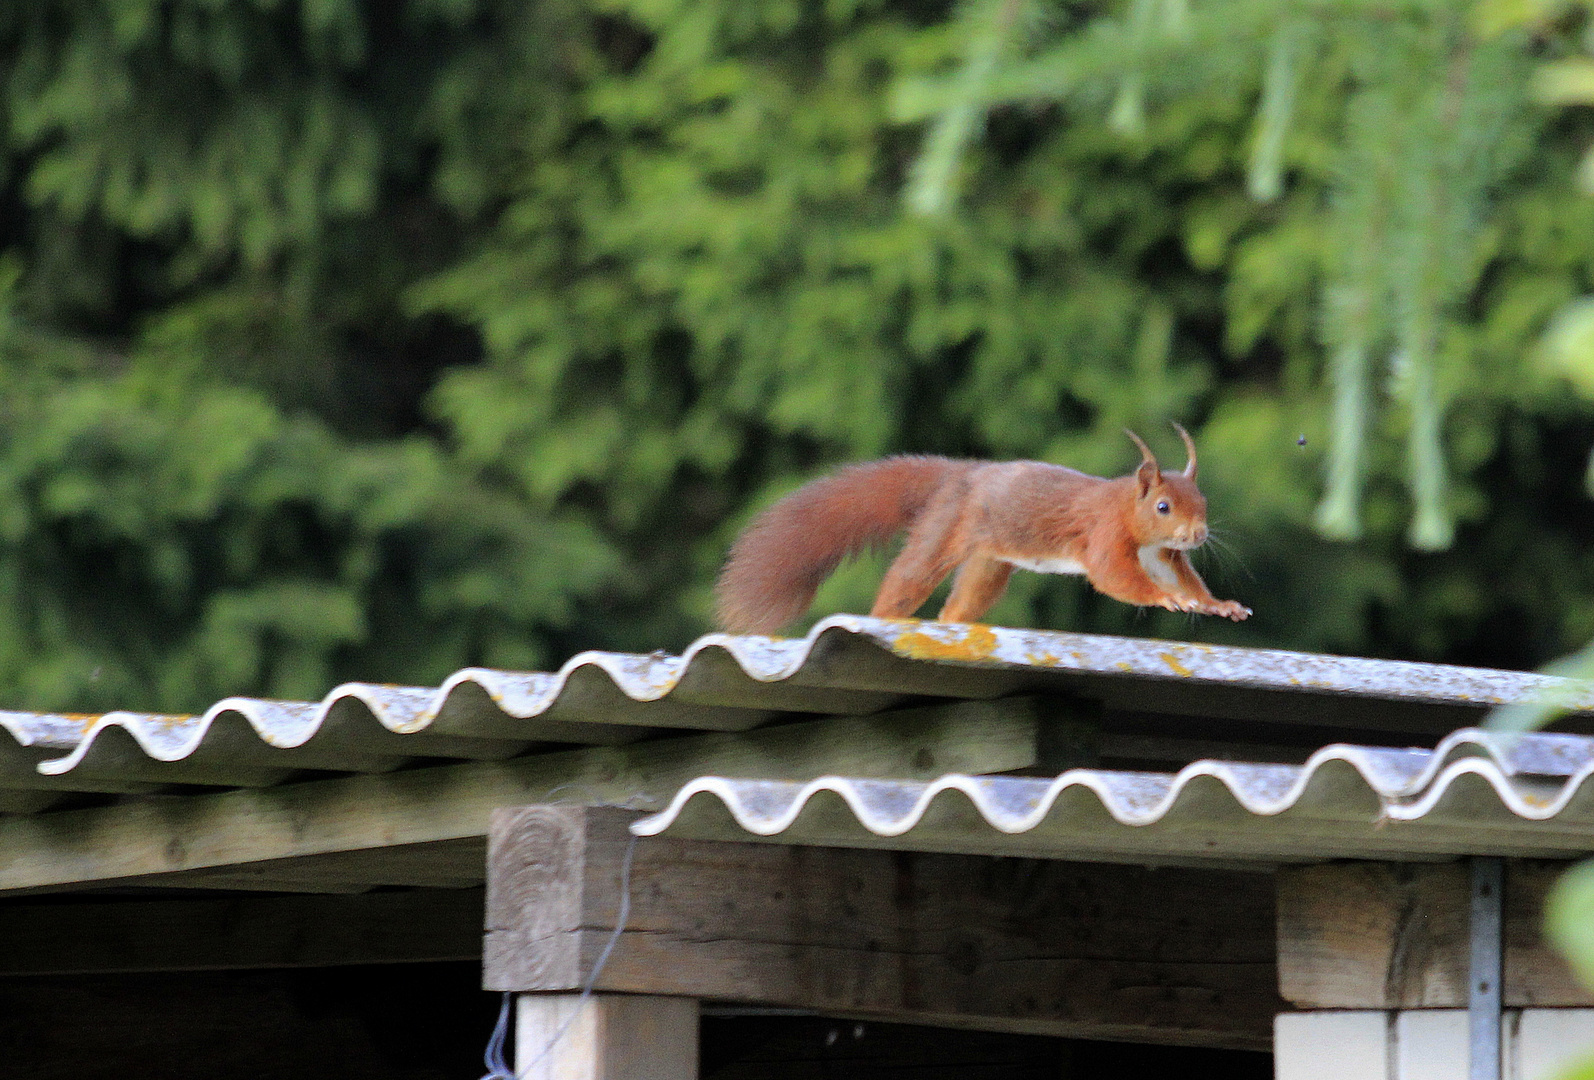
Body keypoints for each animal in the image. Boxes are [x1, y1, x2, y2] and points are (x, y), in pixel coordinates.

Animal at [717, 423, 1249, 633]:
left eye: (1202, 502)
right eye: (1163, 506)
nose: (1198, 535)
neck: (1124, 509)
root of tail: (960, 475)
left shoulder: (1160, 555)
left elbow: (1184, 578)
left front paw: (1216, 604)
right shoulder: (1105, 537)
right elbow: (1113, 576)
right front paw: (1168, 600)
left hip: (987, 566)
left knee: (957, 607)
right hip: (945, 532)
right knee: (907, 580)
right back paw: (886, 618)